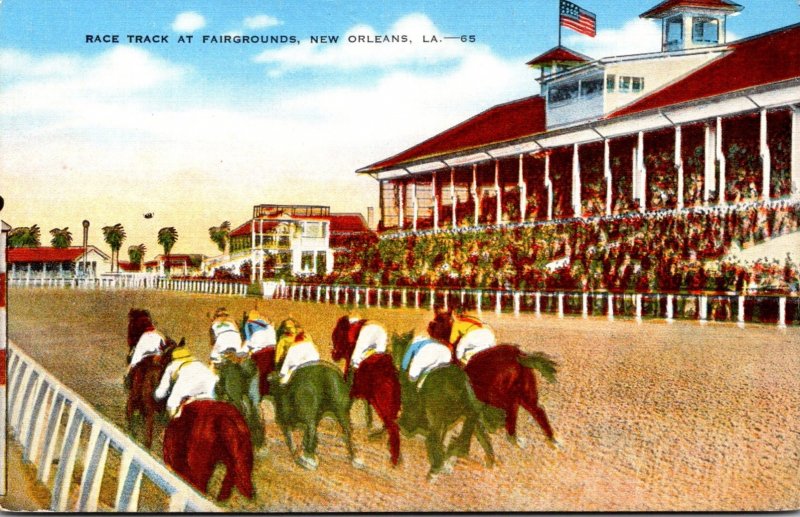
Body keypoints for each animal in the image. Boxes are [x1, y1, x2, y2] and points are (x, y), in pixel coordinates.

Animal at [330, 316, 400, 466]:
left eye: (337, 335)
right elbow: (367, 410)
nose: (333, 353)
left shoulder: (352, 390)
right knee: (391, 424)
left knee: (392, 426)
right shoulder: (367, 395)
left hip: (382, 405)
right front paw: (369, 425)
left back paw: (394, 458)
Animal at [390, 330, 494, 480]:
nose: (396, 365)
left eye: (394, 347)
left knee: (434, 438)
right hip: (470, 414)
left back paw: (435, 469)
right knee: (472, 438)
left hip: (437, 417)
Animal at [428, 306, 560, 448]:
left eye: (440, 319)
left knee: (511, 412)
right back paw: (553, 440)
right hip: (526, 393)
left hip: (501, 396)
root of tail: (519, 355)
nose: (429, 326)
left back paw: (515, 440)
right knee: (538, 411)